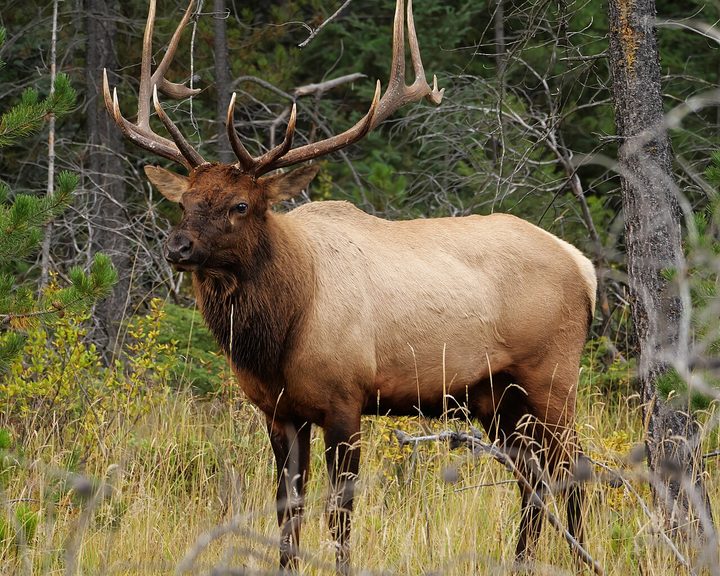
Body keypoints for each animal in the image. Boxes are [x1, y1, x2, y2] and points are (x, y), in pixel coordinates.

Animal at [103, 0, 597, 573]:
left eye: (241, 204)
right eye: (184, 201)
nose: (177, 247)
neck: (281, 330)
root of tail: (584, 266)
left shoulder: (346, 399)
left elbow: (340, 512)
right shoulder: (278, 413)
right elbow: (288, 509)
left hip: (552, 374)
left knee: (572, 468)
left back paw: (582, 558)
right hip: (495, 395)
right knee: (531, 477)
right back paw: (521, 559)